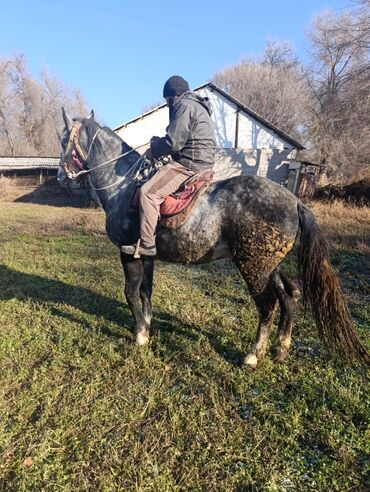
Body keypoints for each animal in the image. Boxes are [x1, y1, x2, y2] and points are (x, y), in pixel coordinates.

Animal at [56, 108, 368, 368]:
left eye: (63, 140)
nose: (61, 177)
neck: (124, 186)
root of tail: (294, 202)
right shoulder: (147, 255)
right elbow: (146, 292)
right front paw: (148, 324)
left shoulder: (127, 252)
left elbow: (130, 293)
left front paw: (140, 336)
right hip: (270, 267)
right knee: (289, 296)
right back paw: (281, 349)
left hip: (253, 269)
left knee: (268, 305)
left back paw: (253, 355)